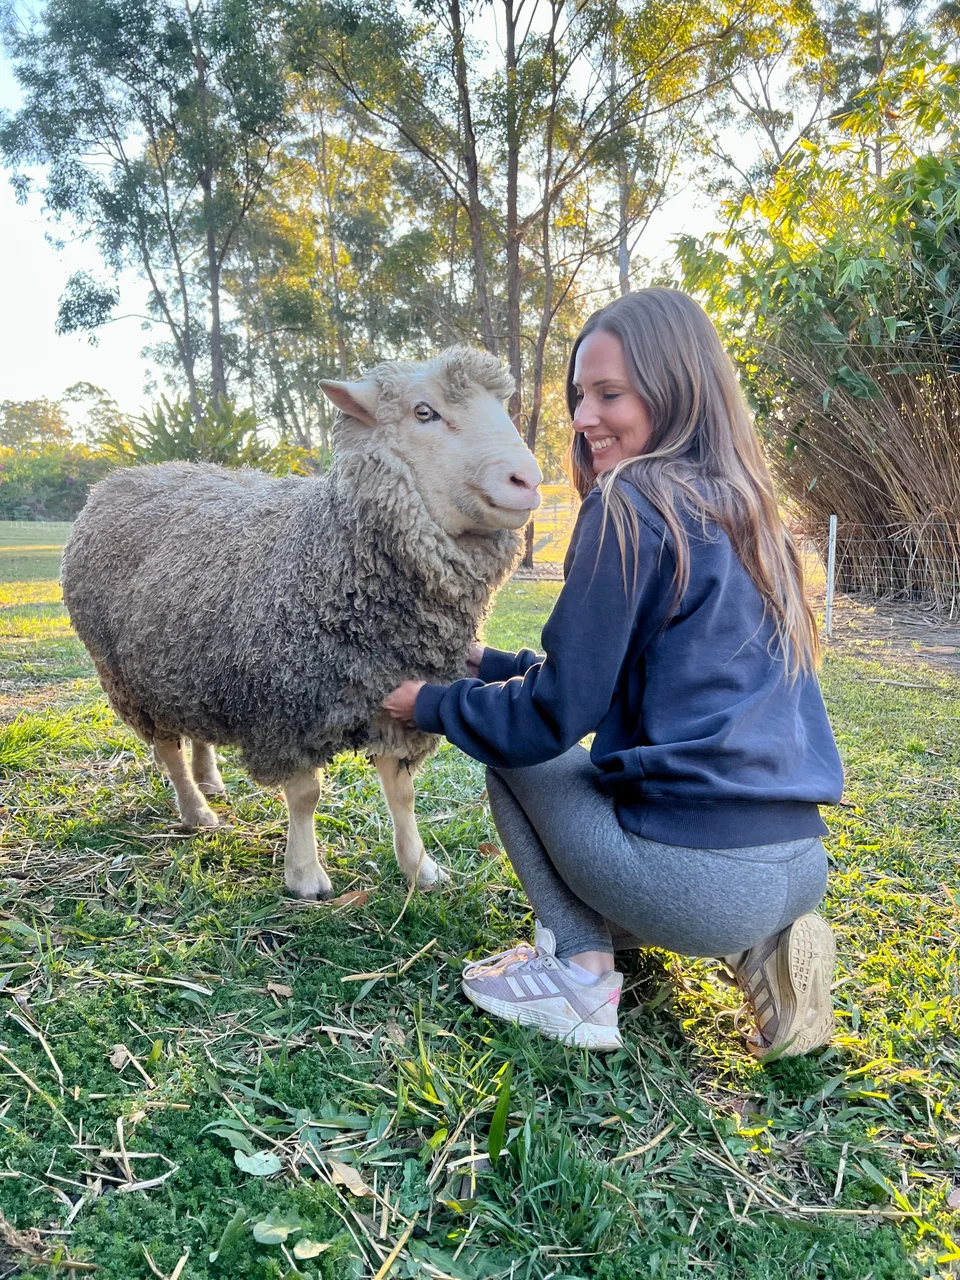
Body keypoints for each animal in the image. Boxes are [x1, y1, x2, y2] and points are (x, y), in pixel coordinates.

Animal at [61, 347, 541, 899]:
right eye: (424, 412)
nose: (528, 479)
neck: (333, 560)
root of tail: (115, 479)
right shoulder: (286, 710)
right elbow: (307, 795)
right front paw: (306, 876)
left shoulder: (396, 705)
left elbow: (402, 794)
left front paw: (421, 869)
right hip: (130, 678)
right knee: (169, 748)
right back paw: (197, 811)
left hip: (190, 660)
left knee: (196, 730)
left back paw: (210, 780)